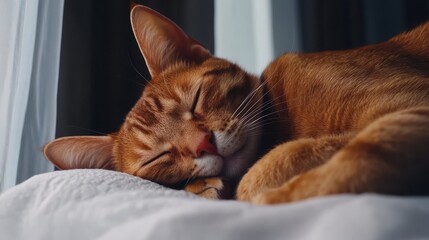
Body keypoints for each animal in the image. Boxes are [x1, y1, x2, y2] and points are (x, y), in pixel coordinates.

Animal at [42, 5, 428, 204]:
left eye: (196, 99)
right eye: (158, 157)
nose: (204, 144)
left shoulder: (411, 105)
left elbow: (279, 168)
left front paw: (266, 196)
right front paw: (204, 187)